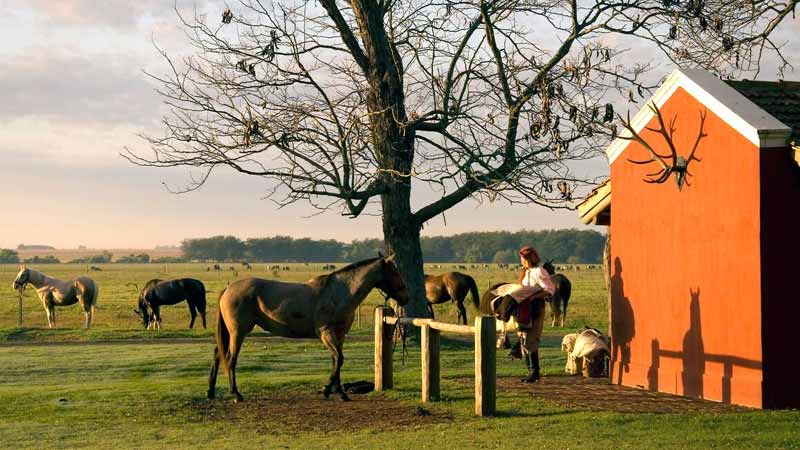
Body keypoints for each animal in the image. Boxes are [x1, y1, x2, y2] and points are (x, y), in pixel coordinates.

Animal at [208, 255, 406, 402]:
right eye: (394, 271)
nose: (406, 296)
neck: (338, 293)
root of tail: (228, 289)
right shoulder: (326, 333)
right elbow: (339, 359)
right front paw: (327, 389)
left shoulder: (340, 335)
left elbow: (337, 360)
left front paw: (339, 393)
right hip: (238, 332)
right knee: (230, 359)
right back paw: (236, 394)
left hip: (231, 333)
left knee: (218, 355)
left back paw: (211, 392)